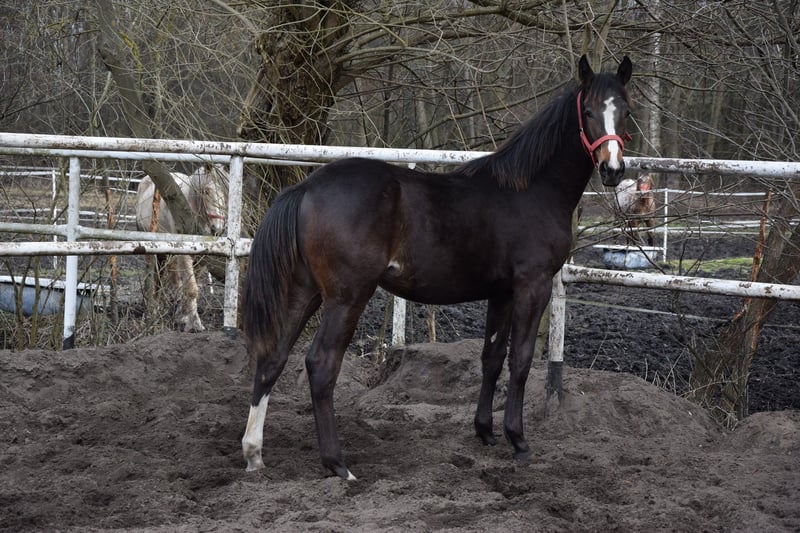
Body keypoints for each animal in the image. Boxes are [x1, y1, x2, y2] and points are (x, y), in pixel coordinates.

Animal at [135, 164, 228, 332]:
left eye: (224, 191)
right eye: (206, 191)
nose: (217, 228)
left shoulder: (202, 258)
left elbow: (190, 285)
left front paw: (183, 316)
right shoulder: (184, 254)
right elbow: (191, 289)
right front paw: (195, 324)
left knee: (167, 278)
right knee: (153, 277)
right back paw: (151, 311)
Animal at [241, 55, 633, 480]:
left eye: (625, 111)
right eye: (589, 111)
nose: (613, 169)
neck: (532, 190)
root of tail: (307, 187)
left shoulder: (501, 292)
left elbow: (492, 358)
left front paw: (485, 432)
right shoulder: (534, 285)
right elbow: (521, 359)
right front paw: (518, 439)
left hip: (305, 291)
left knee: (272, 358)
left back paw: (254, 454)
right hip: (347, 296)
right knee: (321, 364)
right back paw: (337, 464)